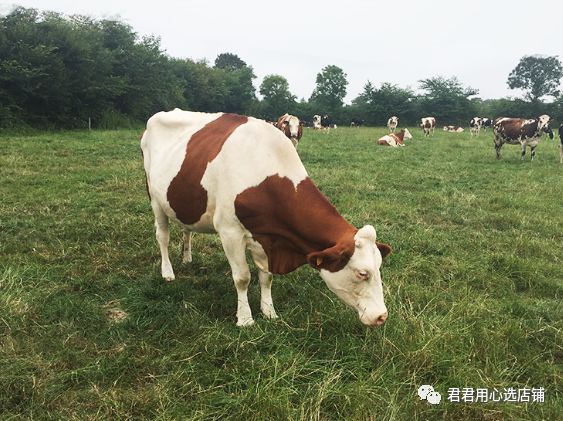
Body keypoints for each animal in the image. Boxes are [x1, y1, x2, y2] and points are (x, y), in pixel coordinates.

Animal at [142, 107, 392, 324]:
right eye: (362, 273)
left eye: (380, 266)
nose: (382, 316)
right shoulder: (230, 231)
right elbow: (242, 277)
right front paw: (245, 319)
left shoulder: (267, 236)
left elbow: (266, 276)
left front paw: (269, 312)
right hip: (155, 198)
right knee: (162, 237)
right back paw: (168, 272)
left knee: (186, 228)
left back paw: (187, 257)